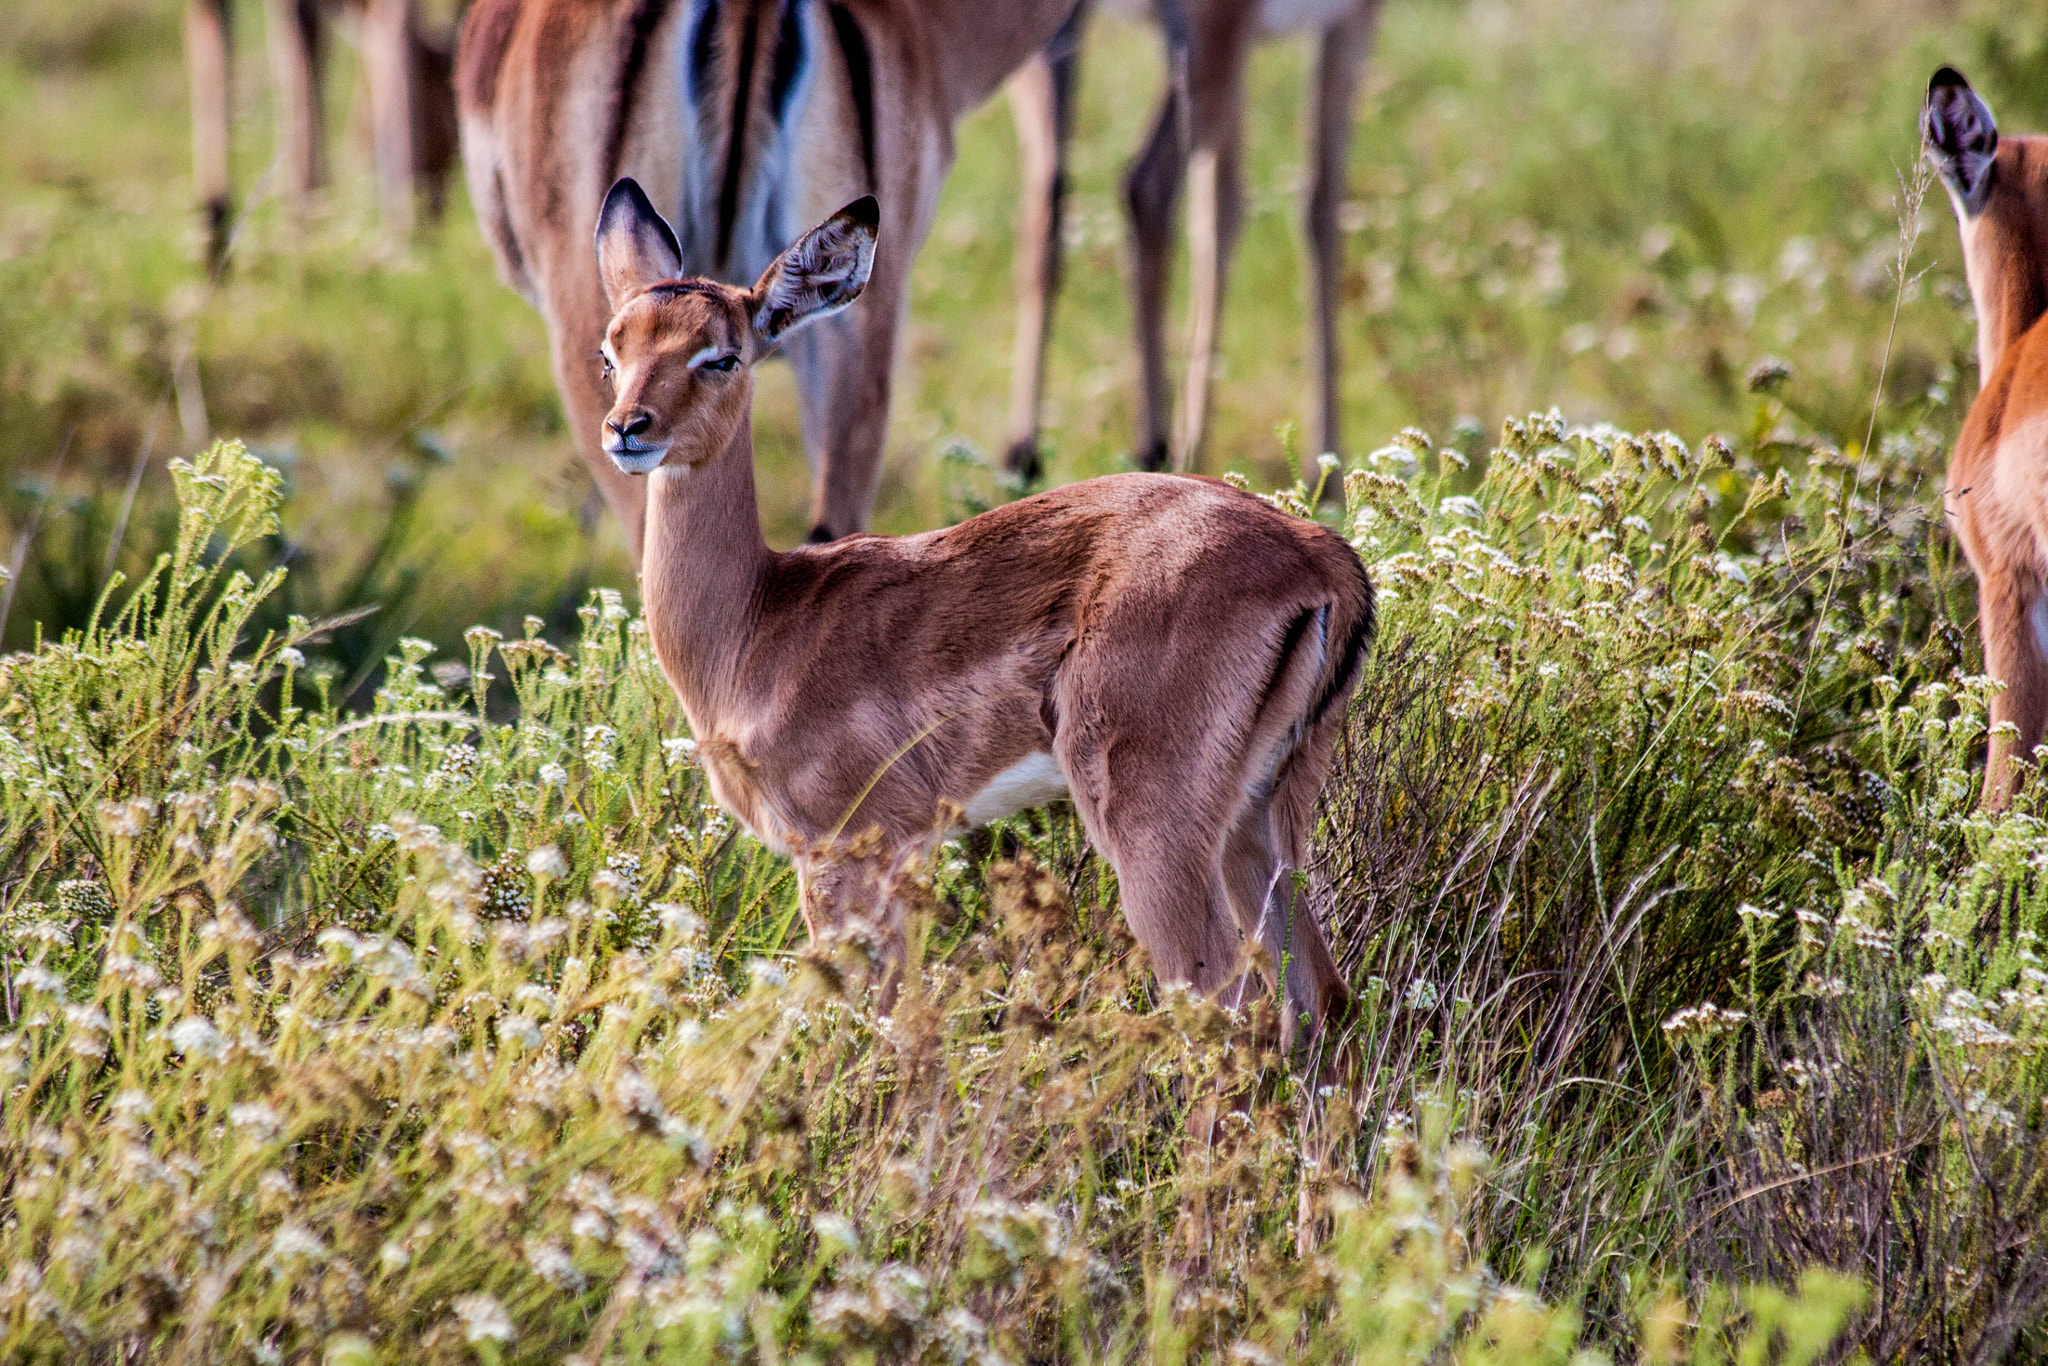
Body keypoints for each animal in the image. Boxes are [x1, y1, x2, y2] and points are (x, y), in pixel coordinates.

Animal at [594, 178, 1369, 1047]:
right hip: (1261, 817)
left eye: (721, 356)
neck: (757, 623)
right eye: (612, 352)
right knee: (1322, 999)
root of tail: (1317, 553)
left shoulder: (846, 855)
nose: (628, 429)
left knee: (1231, 1010)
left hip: (1154, 834)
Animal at [1004, 0, 1384, 479]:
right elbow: (1316, 209)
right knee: (1147, 185)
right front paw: (1327, 469)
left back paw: (1022, 454)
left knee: (1047, 191)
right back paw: (1165, 449)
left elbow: (1232, 207)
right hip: (1209, 38)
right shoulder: (1349, 22)